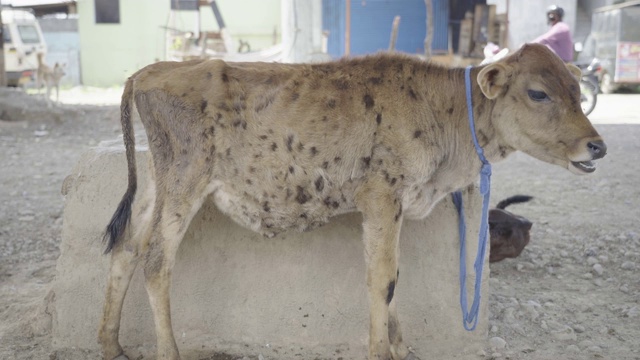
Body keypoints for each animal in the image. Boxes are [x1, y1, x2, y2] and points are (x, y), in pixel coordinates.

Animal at [99, 43, 604, 358]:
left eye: (578, 92)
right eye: (538, 92)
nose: (596, 146)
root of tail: (150, 69)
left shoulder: (391, 206)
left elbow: (394, 276)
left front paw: (399, 345)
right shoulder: (381, 195)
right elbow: (382, 278)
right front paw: (382, 350)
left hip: (156, 183)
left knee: (126, 249)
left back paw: (110, 344)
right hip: (185, 179)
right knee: (156, 261)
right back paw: (168, 352)